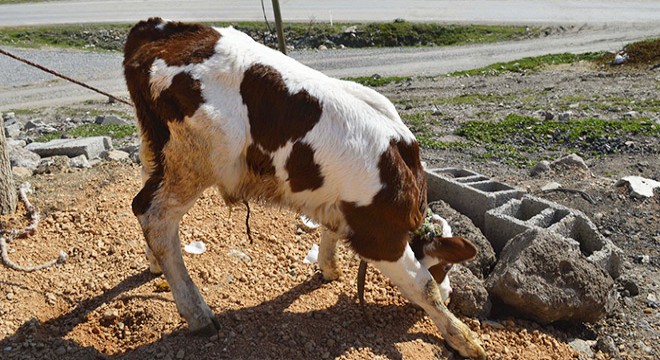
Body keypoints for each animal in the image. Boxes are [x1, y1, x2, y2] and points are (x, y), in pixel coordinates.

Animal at [122, 18, 484, 358]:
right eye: (446, 266)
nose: (451, 293)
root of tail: (161, 29)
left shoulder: (338, 204)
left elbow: (329, 231)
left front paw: (329, 268)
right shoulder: (380, 235)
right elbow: (423, 287)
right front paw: (463, 337)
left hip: (159, 151)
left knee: (152, 206)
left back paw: (155, 263)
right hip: (196, 162)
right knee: (154, 216)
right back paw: (198, 313)